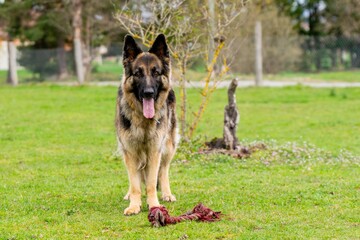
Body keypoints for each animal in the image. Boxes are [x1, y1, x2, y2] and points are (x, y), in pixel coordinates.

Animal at [114, 33, 178, 216]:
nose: (148, 92)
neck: (143, 121)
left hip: (168, 146)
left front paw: (154, 205)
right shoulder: (130, 151)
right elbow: (135, 184)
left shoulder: (155, 151)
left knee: (163, 171)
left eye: (156, 72)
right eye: (138, 73)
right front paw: (134, 205)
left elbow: (151, 183)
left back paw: (167, 194)